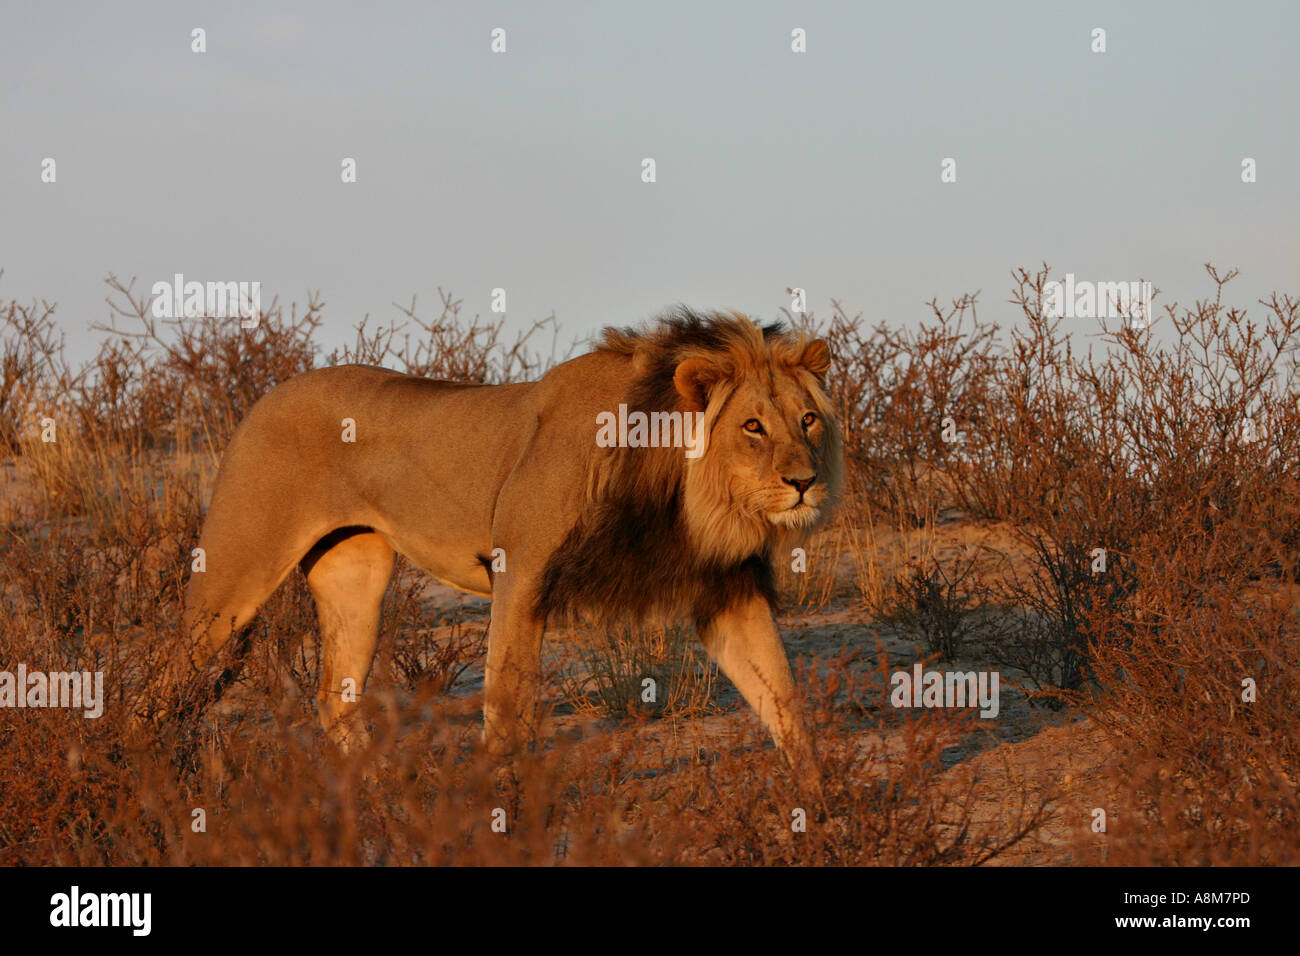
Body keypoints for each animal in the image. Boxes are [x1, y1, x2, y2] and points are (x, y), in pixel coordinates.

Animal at [165, 307, 843, 775]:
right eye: (752, 426)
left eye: (807, 420)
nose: (804, 482)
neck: (685, 497)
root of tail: (264, 396)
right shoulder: (520, 576)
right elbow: (507, 709)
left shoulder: (729, 591)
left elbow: (782, 698)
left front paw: (819, 805)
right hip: (235, 570)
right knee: (172, 672)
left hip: (355, 573)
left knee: (335, 700)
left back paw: (384, 795)